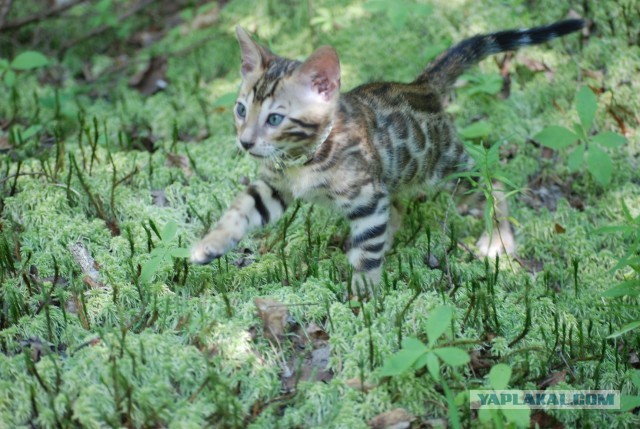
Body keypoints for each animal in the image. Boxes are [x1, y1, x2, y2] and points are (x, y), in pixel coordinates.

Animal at [190, 20, 584, 292]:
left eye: (274, 118)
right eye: (241, 109)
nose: (245, 142)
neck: (304, 159)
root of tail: (421, 85)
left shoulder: (366, 197)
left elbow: (368, 250)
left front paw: (363, 298)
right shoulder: (276, 186)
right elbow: (242, 209)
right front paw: (211, 244)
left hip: (445, 166)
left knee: (492, 182)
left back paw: (499, 239)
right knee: (395, 211)